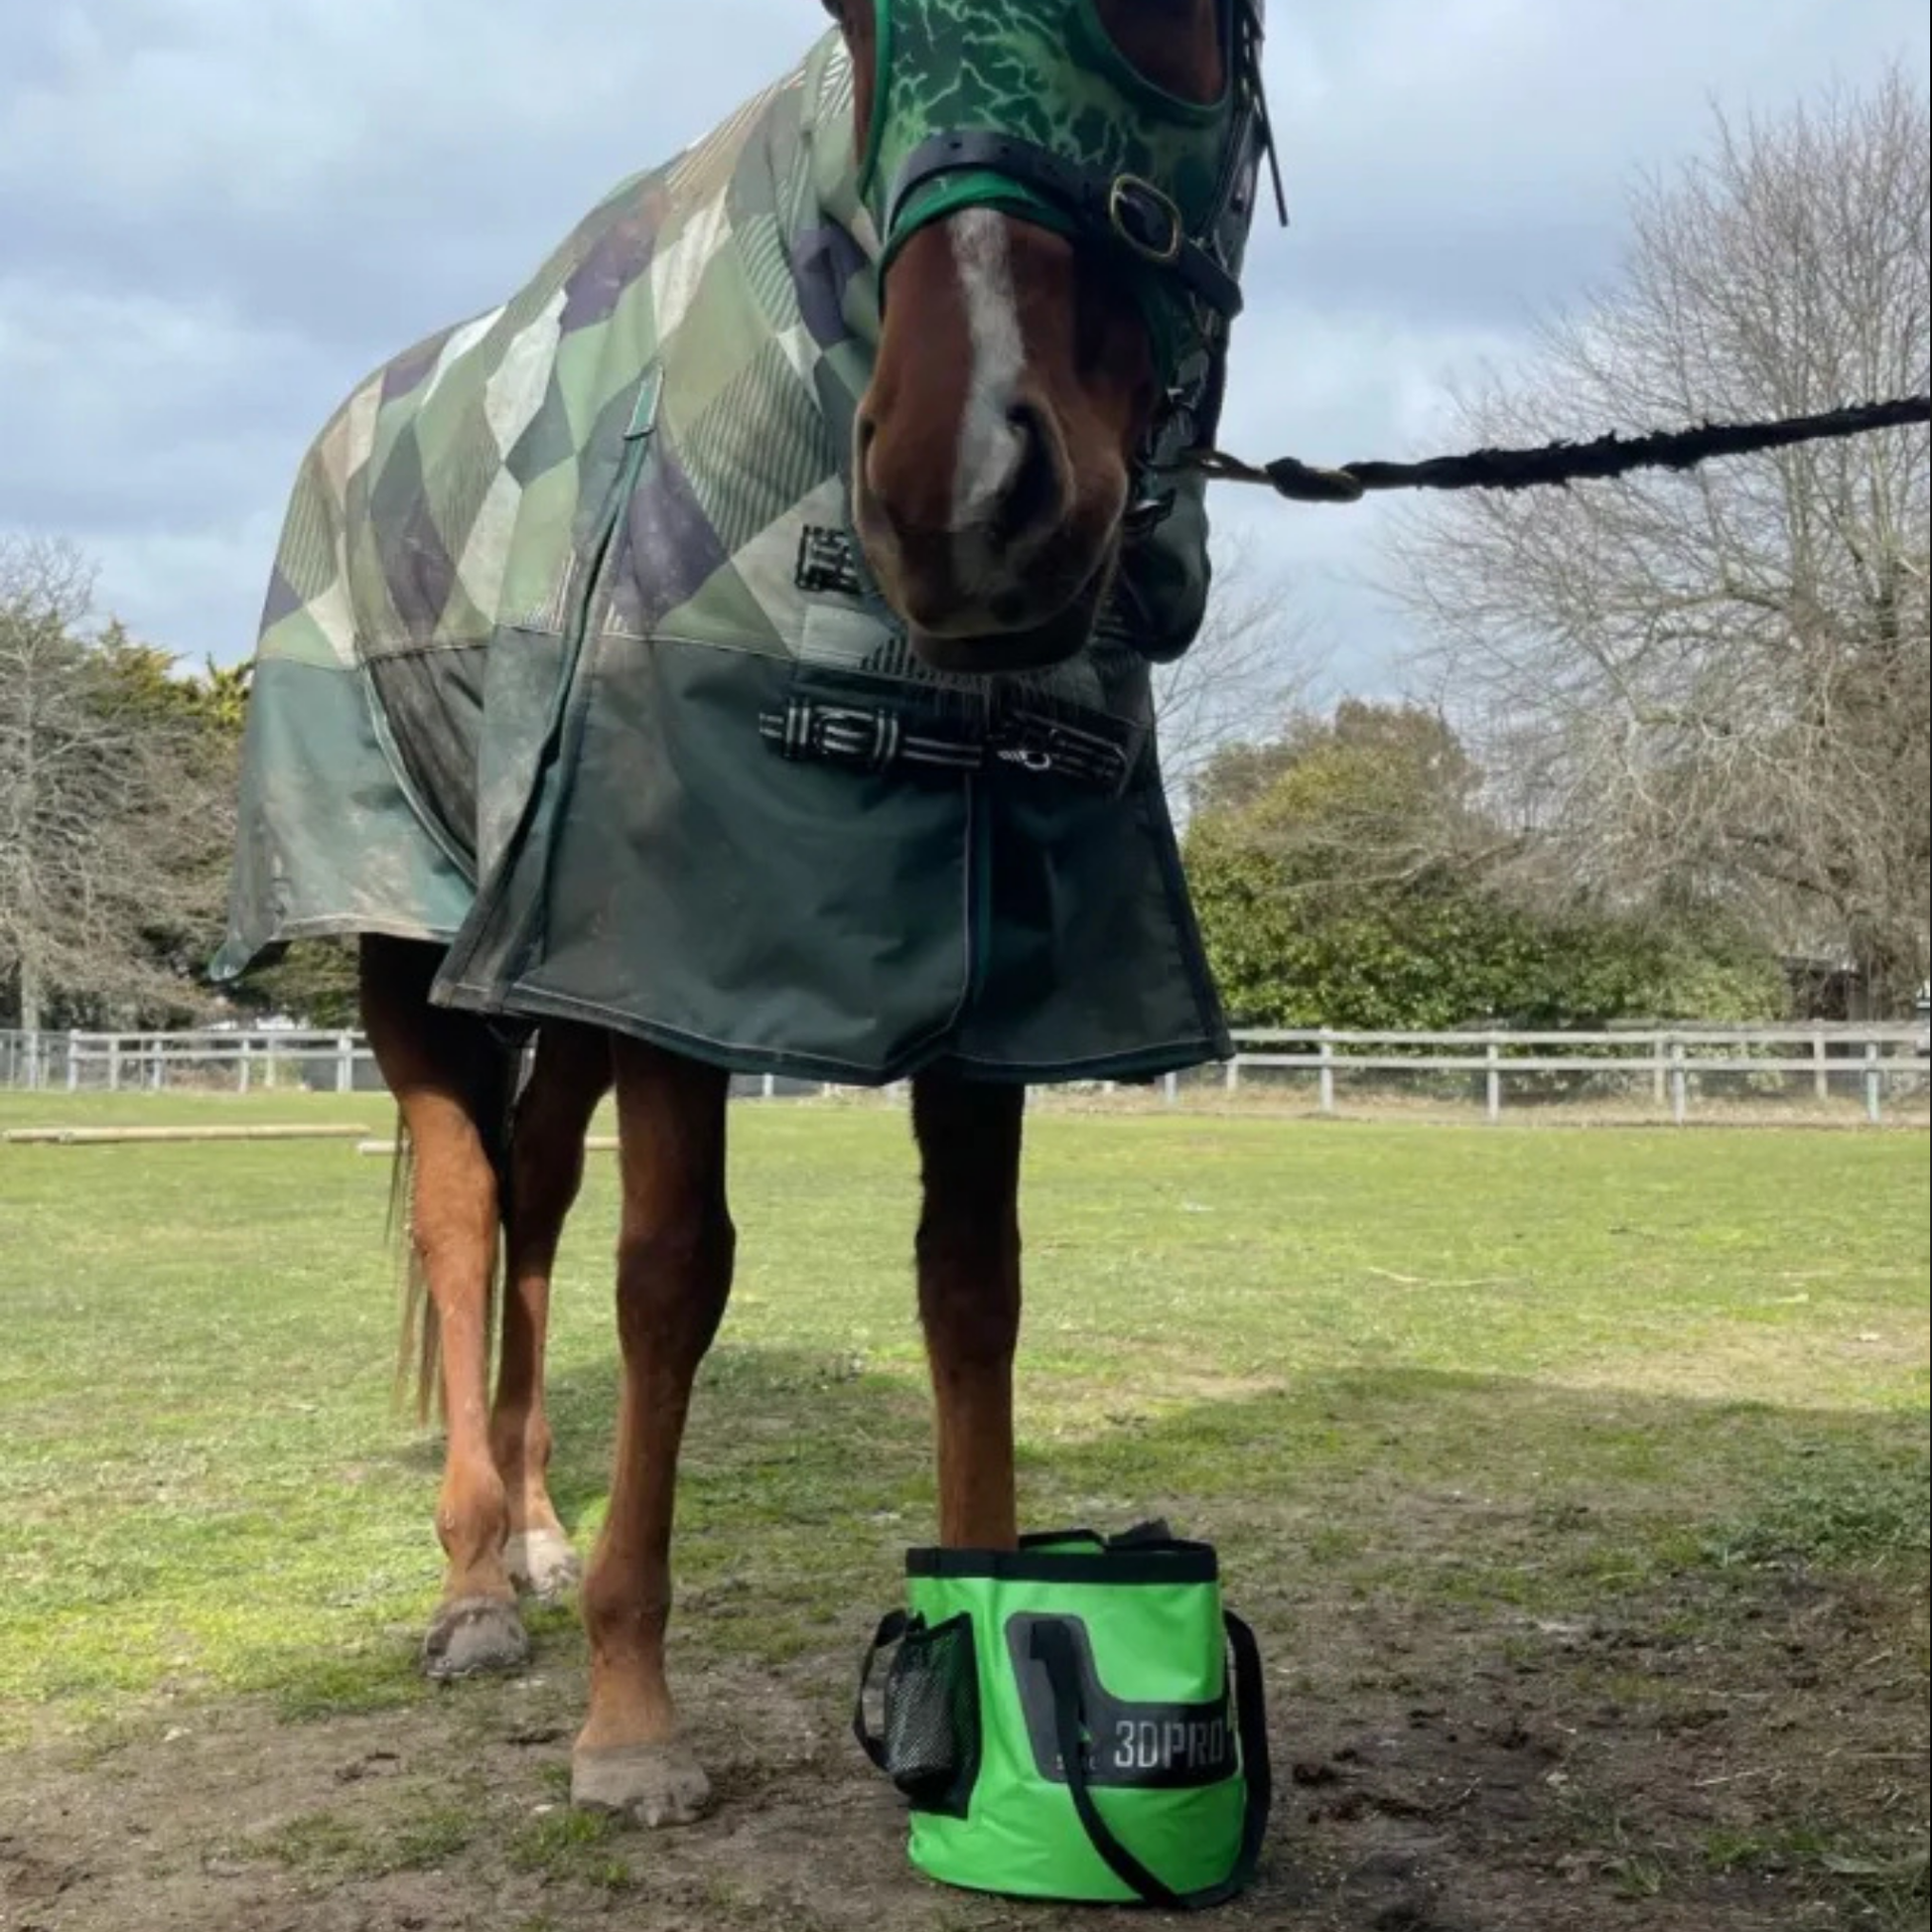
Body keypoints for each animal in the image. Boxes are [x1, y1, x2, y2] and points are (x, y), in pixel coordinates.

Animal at [215, 0, 1275, 1827]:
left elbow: (970, 1287)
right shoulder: (679, 962)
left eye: (1176, 24)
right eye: (864, 27)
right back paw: (475, 1587)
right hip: (418, 951)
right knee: (466, 1216)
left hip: (558, 986)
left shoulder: (980, 998)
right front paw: (628, 1719)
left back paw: (534, 1535)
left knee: (537, 1209)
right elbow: (674, 1279)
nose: (962, 499)